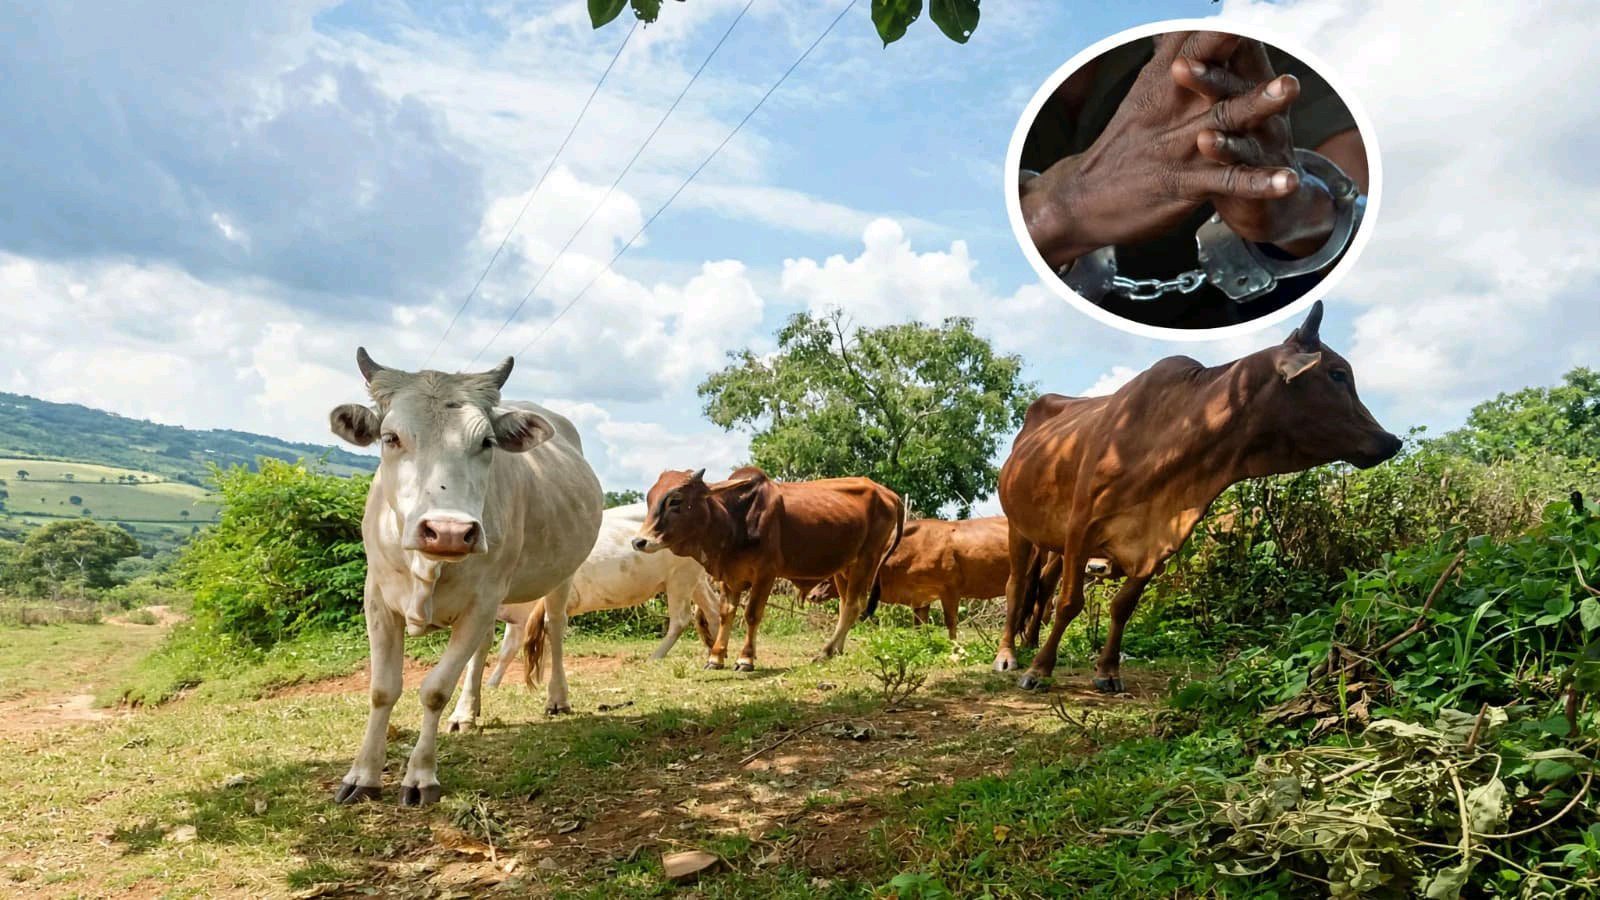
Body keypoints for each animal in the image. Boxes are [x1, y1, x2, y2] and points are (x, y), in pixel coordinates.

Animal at [327, 349, 602, 806]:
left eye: (486, 442)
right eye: (390, 437)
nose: (450, 531)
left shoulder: (483, 598)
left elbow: (434, 689)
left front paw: (421, 776)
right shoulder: (378, 597)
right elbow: (382, 689)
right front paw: (362, 775)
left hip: (561, 574)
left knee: (555, 627)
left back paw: (557, 698)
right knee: (484, 646)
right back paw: (466, 712)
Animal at [482, 502, 720, 687]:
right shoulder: (519, 617)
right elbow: (507, 651)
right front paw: (492, 684)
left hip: (680, 579)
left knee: (680, 620)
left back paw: (656, 657)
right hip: (695, 580)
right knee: (713, 609)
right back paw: (715, 654)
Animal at [632, 466, 905, 669]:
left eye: (675, 500)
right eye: (650, 499)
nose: (639, 541)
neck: (735, 519)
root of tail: (889, 494)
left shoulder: (765, 574)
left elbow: (752, 614)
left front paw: (745, 658)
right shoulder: (729, 576)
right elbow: (726, 613)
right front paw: (716, 657)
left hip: (867, 560)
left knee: (853, 605)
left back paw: (825, 651)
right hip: (844, 567)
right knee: (845, 604)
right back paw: (836, 649)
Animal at [994, 301, 1401, 692]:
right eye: (1337, 374)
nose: (1391, 440)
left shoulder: (1159, 542)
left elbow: (1122, 605)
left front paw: (1107, 671)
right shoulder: (1082, 526)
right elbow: (1069, 603)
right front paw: (1039, 670)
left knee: (1042, 588)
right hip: (1018, 526)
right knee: (1017, 586)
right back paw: (1008, 655)